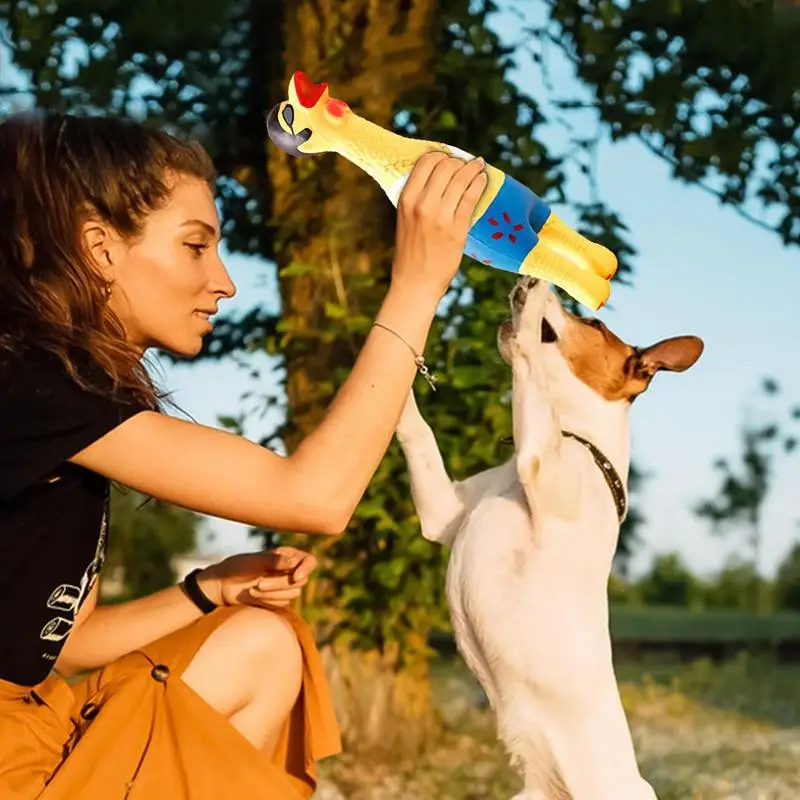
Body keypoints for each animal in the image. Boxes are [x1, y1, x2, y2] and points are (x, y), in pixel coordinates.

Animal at [396, 278, 704, 796]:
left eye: (595, 322)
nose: (526, 281)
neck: (576, 438)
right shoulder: (442, 510)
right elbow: (419, 434)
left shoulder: (536, 459)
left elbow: (529, 368)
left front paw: (536, 299)